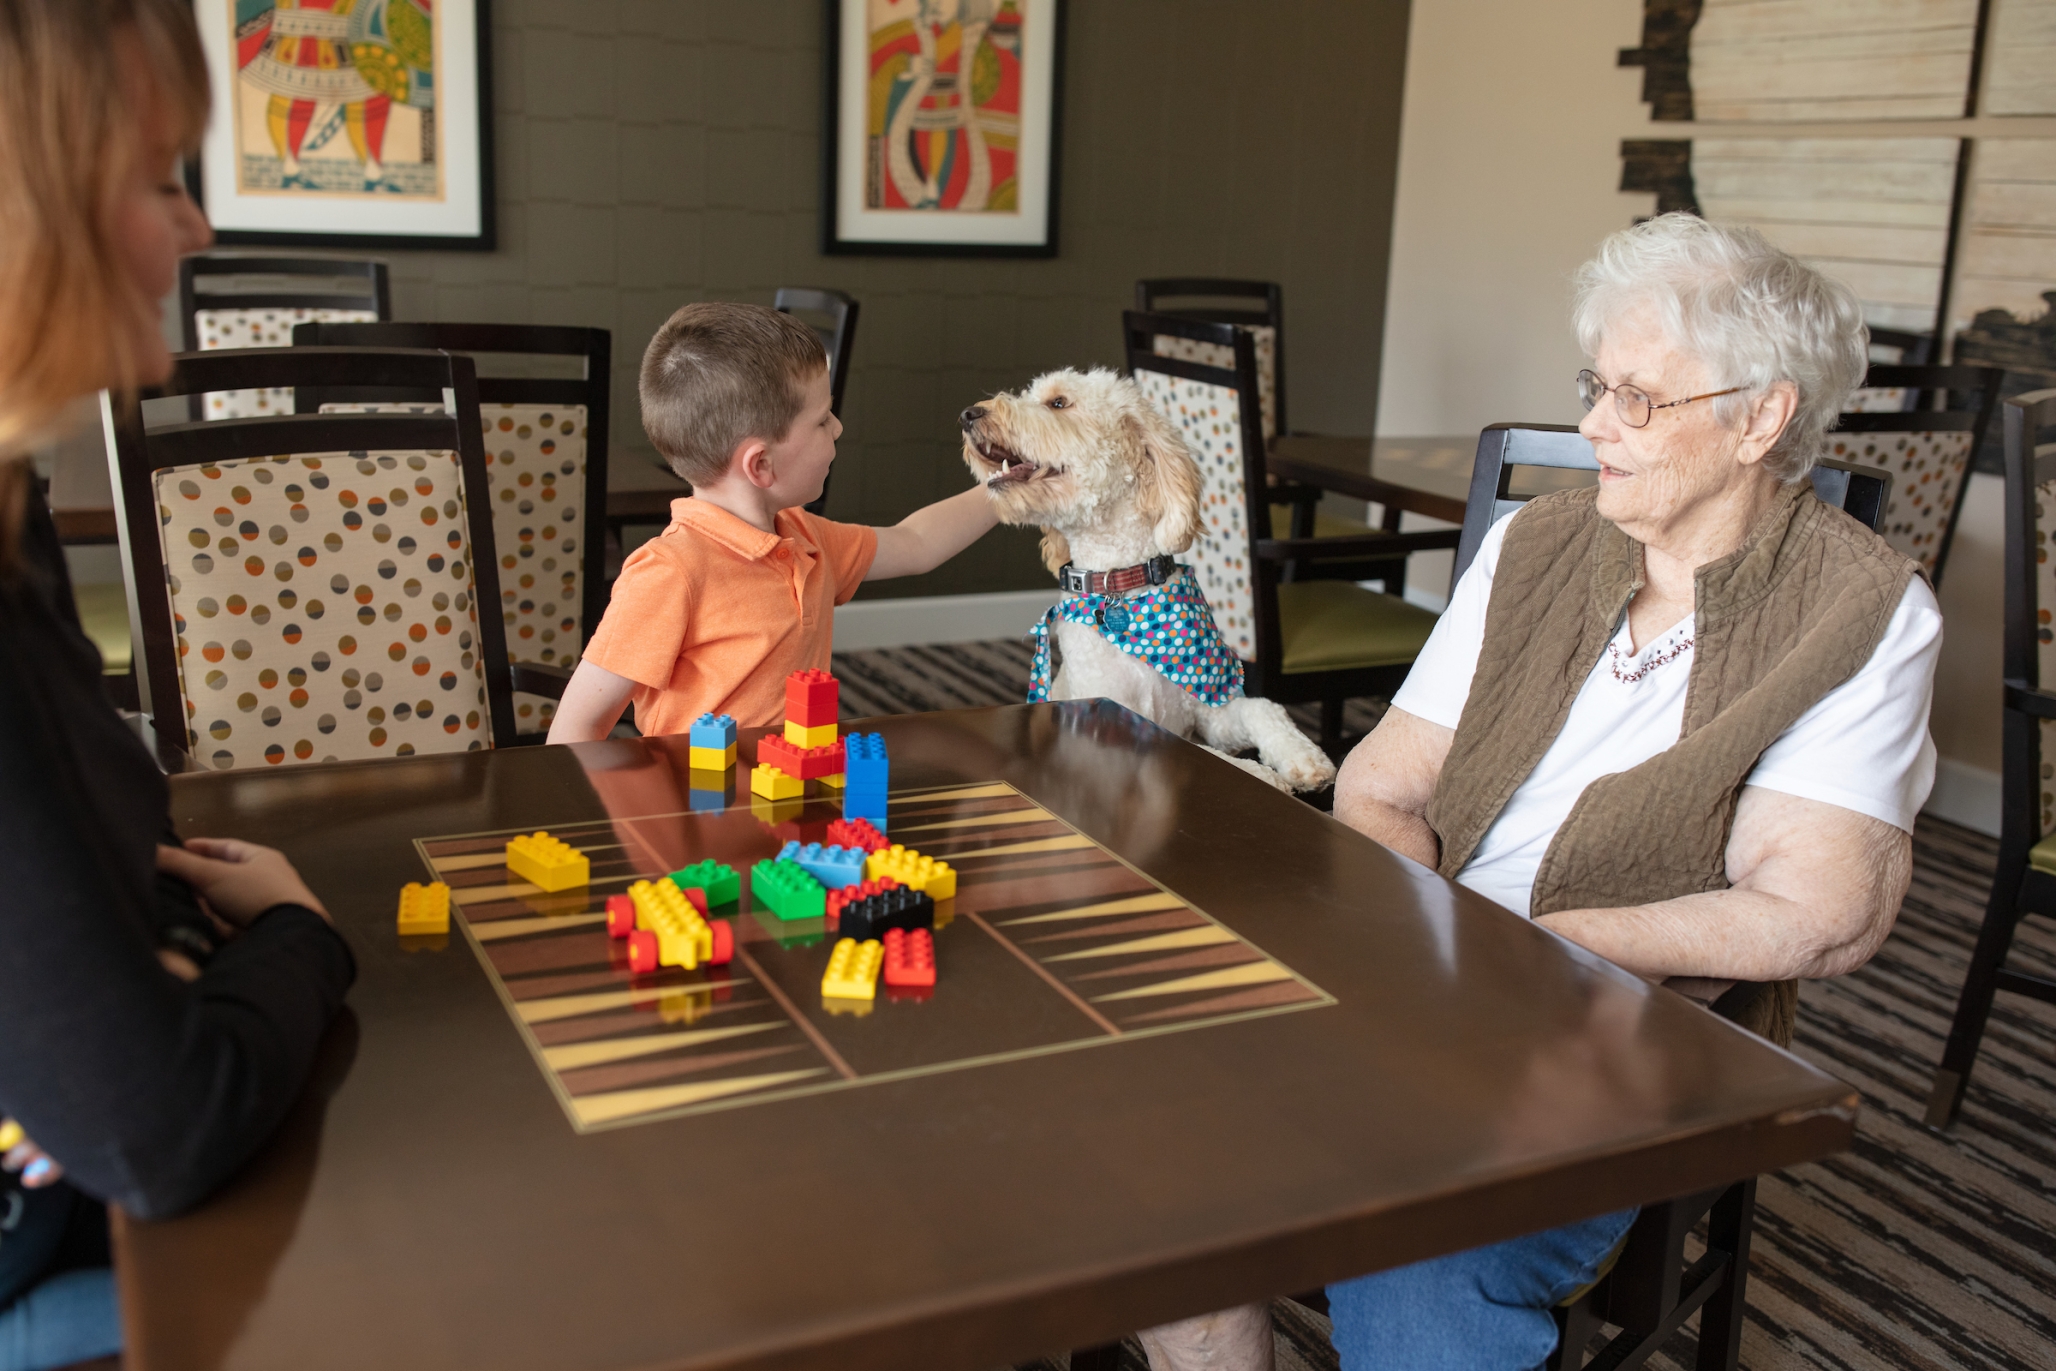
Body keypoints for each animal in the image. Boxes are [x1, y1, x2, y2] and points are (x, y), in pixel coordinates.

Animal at [958, 367, 1332, 793]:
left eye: (1058, 402)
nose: (969, 414)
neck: (1121, 586)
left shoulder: (1208, 714)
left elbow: (1261, 707)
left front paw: (1303, 758)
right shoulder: (1119, 724)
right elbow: (1211, 757)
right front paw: (1263, 777)